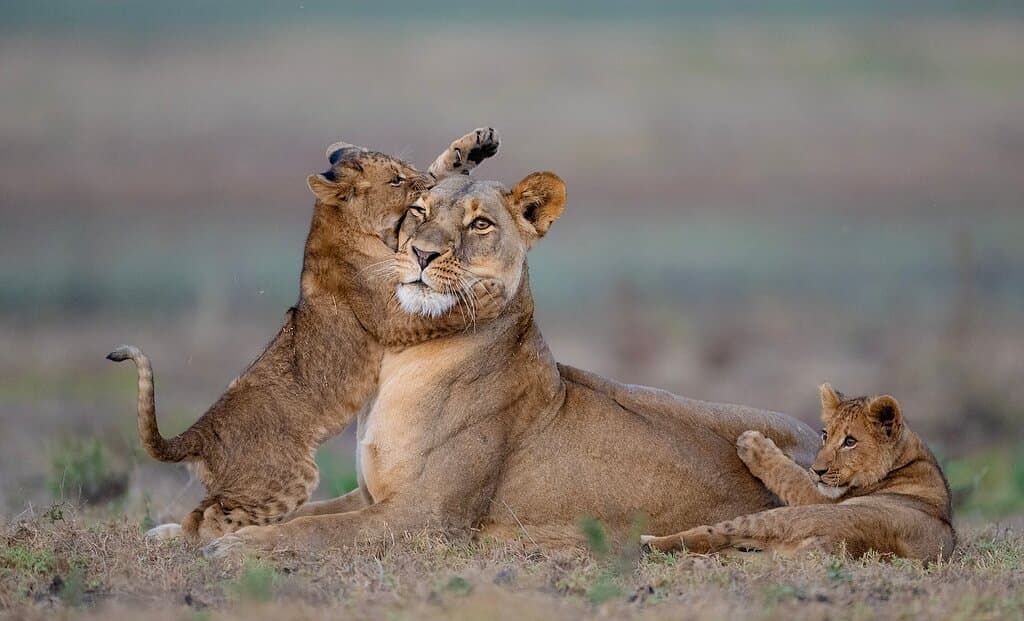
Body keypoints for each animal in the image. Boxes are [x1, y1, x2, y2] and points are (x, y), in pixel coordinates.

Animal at [107, 128, 501, 543]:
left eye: (407, 170)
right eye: (395, 180)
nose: (425, 188)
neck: (334, 222)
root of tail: (202, 431)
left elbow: (441, 167)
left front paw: (474, 146)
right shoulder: (391, 313)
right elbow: (438, 312)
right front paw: (487, 297)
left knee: (198, 515)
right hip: (285, 478)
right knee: (207, 519)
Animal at [202, 171, 821, 558]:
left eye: (480, 225)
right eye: (419, 211)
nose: (421, 253)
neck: (404, 362)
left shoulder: (427, 518)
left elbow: (314, 531)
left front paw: (233, 545)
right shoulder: (376, 496)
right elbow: (305, 514)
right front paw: (192, 528)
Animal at [640, 384, 955, 562]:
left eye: (850, 441)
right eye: (825, 434)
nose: (818, 470)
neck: (909, 457)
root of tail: (846, 542)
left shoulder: (819, 496)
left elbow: (790, 476)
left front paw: (753, 444)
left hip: (780, 517)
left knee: (709, 535)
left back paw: (649, 542)